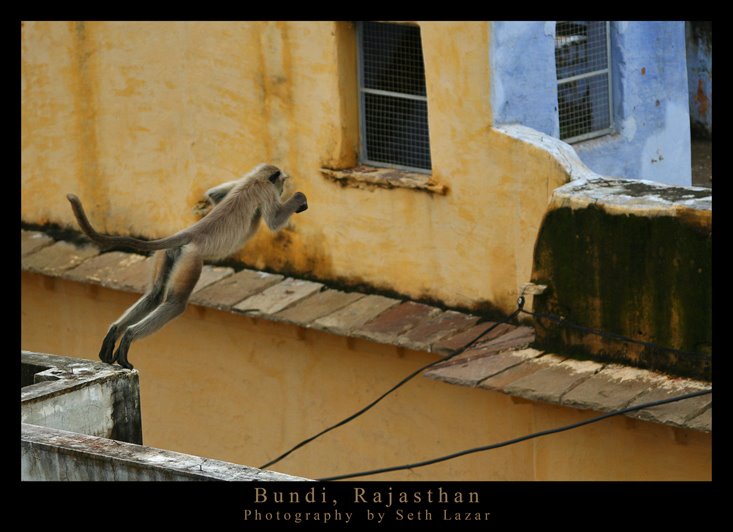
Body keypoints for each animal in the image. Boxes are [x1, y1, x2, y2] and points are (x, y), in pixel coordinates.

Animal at [67, 164, 308, 368]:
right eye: (281, 184)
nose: (283, 188)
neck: (255, 180)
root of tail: (188, 234)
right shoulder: (265, 191)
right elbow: (274, 222)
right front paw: (299, 198)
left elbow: (214, 194)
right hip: (191, 259)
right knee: (176, 303)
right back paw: (129, 336)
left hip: (167, 256)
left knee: (154, 295)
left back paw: (115, 332)